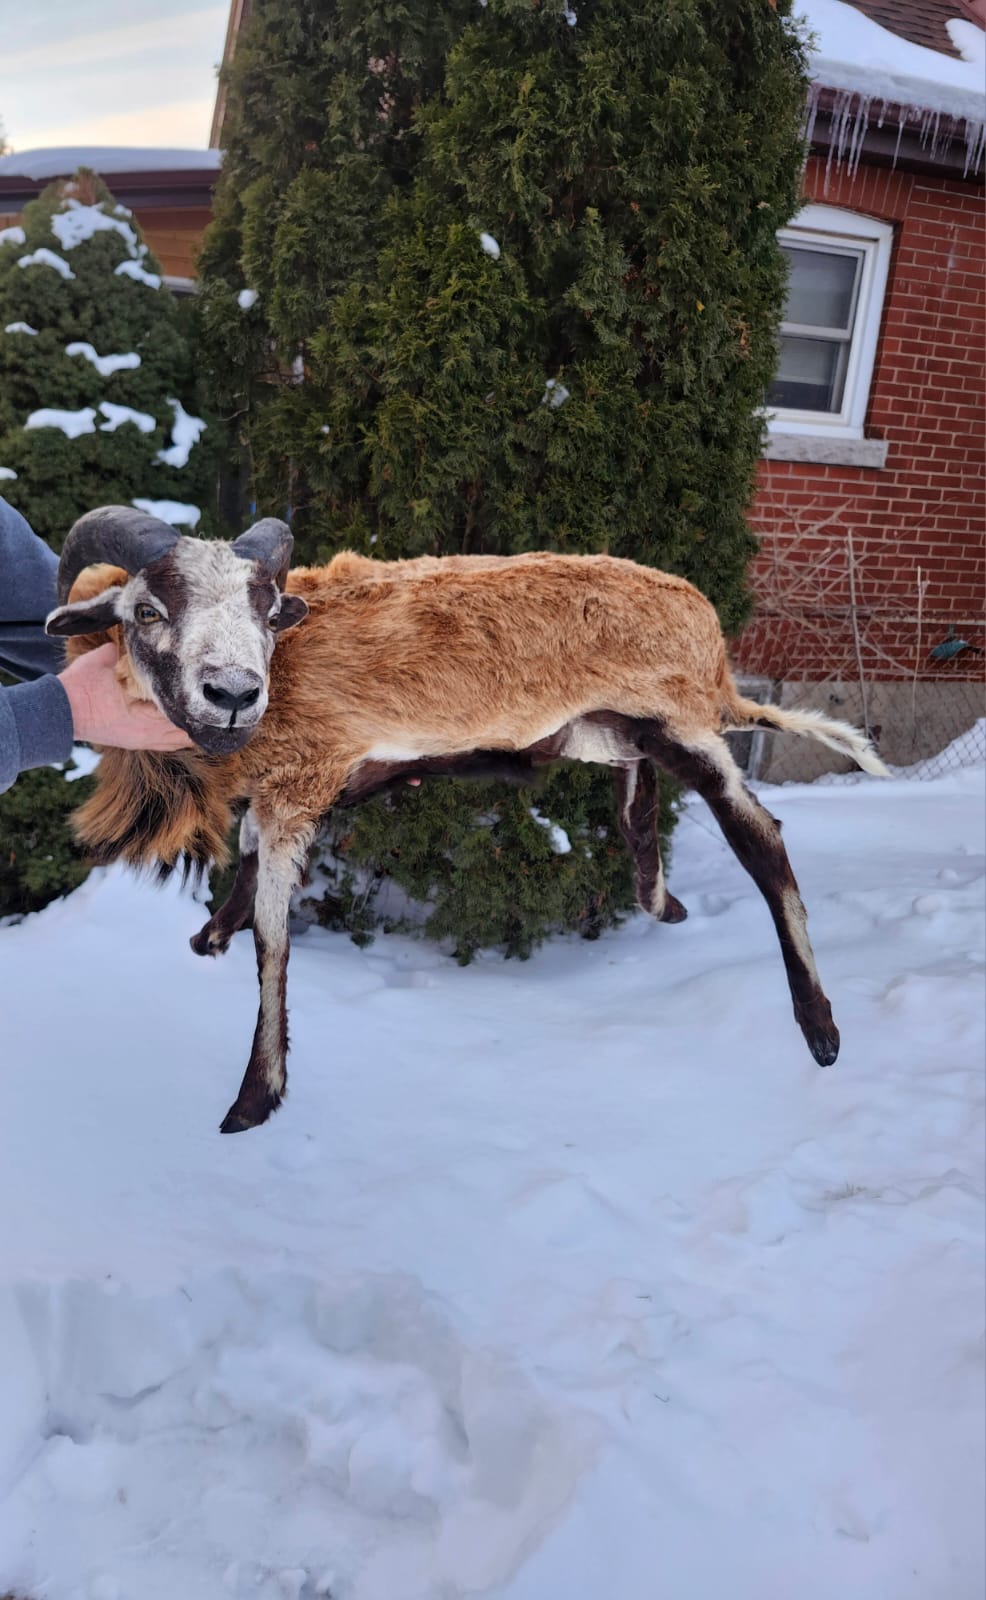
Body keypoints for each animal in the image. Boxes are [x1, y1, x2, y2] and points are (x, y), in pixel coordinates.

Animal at [47, 506, 888, 1133]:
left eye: (266, 612)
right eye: (148, 610)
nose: (232, 693)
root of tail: (714, 650)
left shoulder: (301, 781)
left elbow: (275, 937)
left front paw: (256, 1097)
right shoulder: (281, 792)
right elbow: (249, 868)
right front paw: (210, 935)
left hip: (676, 719)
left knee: (761, 836)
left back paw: (821, 1032)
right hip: (602, 727)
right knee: (640, 793)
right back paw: (659, 898)